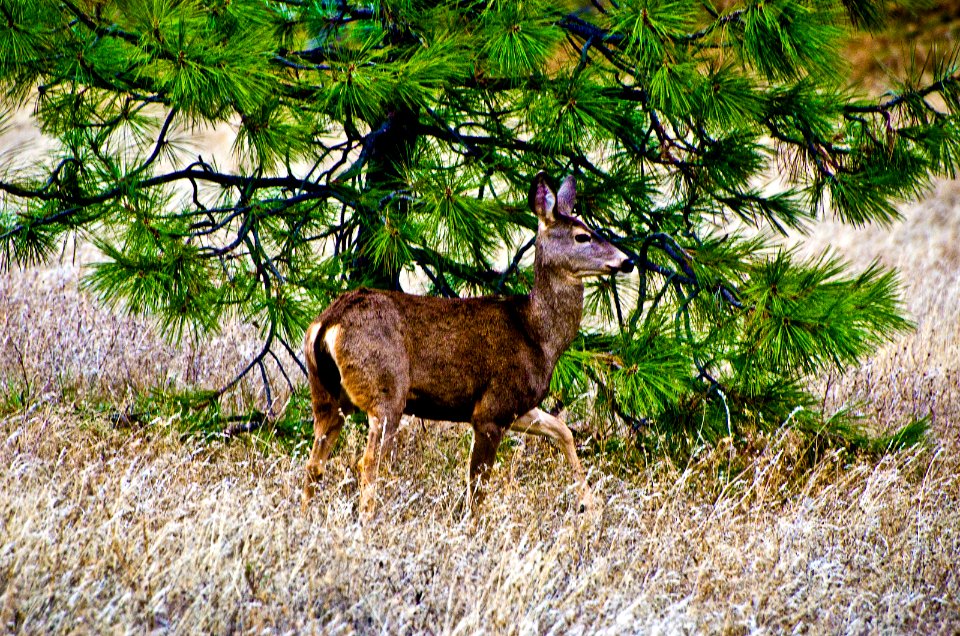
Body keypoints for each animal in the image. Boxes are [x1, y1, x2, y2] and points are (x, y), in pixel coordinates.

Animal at [300, 173, 632, 516]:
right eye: (582, 236)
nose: (627, 261)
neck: (537, 335)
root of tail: (327, 323)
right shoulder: (492, 408)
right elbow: (478, 485)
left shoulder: (516, 406)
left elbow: (562, 430)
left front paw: (589, 504)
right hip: (386, 391)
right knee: (369, 463)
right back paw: (367, 521)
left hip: (326, 395)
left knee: (314, 464)